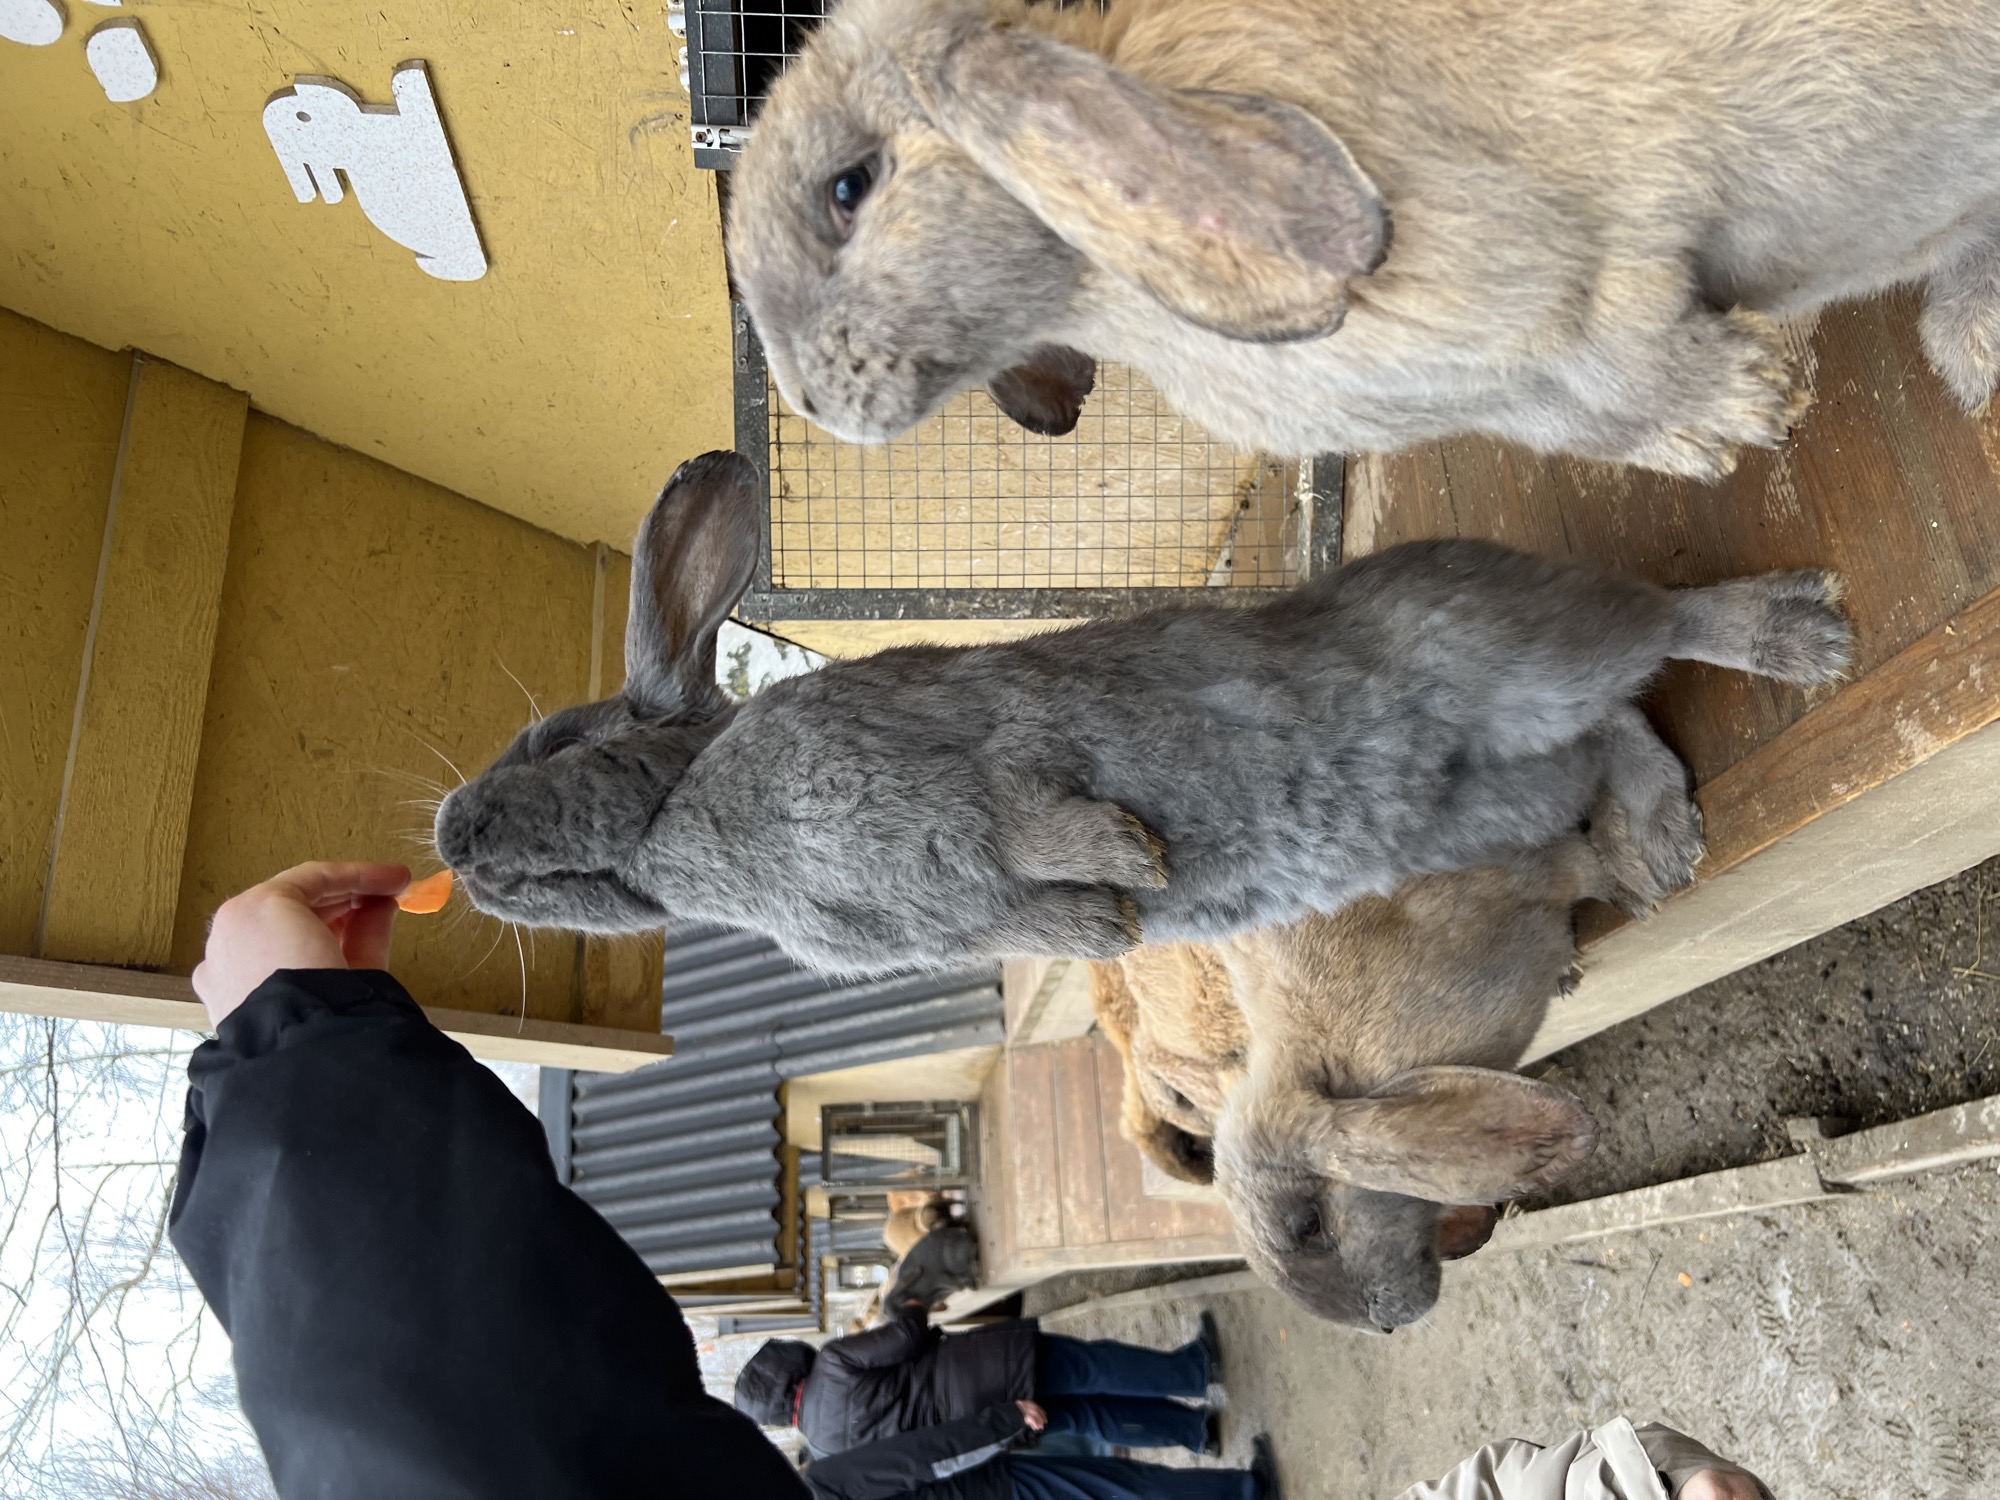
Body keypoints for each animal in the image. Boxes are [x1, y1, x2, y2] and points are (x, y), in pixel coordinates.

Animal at [433, 449, 1851, 976]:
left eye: (562, 741)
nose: (449, 836)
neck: (685, 808)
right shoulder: (958, 923)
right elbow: (1052, 919)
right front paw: (1122, 908)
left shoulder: (954, 767)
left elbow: (1033, 806)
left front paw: (1128, 857)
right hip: (1494, 797)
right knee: (1617, 733)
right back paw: (1654, 847)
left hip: (1516, 646)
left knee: (1660, 624)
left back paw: (1804, 636)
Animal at [726, 0, 2000, 479]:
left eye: (849, 187)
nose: (810, 407)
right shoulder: (1513, 395)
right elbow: (1604, 421)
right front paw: (1705, 444)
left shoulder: (1573, 298)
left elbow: (1636, 363)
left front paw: (1753, 404)